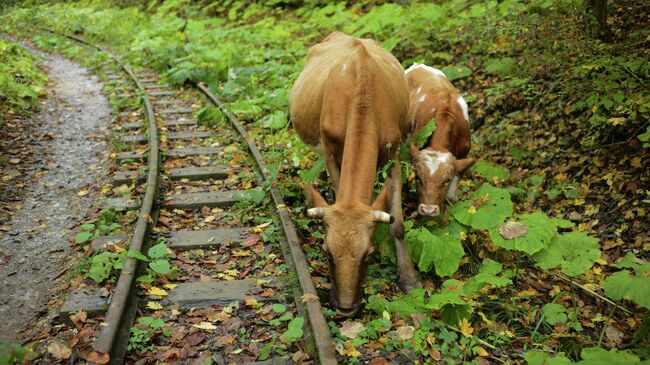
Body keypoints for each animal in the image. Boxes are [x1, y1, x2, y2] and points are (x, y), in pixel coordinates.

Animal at [290, 31, 420, 316]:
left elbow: (397, 223)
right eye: (326, 252)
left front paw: (409, 277)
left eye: (368, 254)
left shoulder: (392, 154)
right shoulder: (330, 150)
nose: (346, 308)